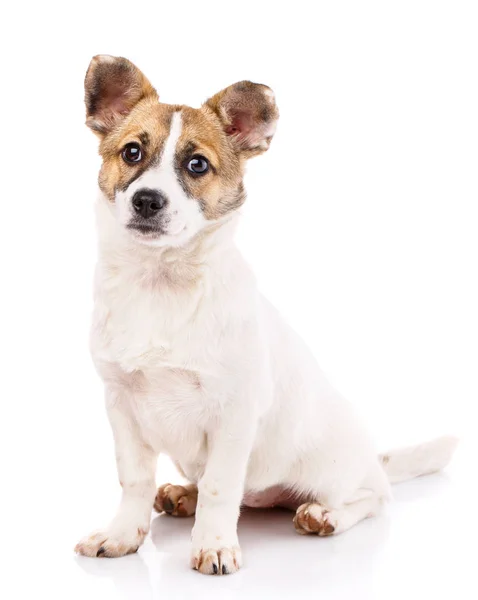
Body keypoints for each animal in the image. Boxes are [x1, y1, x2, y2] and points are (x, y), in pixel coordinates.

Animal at [75, 57, 460, 576]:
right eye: (132, 152)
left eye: (197, 164)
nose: (147, 200)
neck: (162, 285)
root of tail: (371, 457)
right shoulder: (121, 407)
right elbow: (133, 481)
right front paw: (122, 536)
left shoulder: (234, 414)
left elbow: (221, 488)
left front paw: (214, 544)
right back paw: (183, 495)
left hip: (336, 474)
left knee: (373, 498)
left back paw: (324, 515)